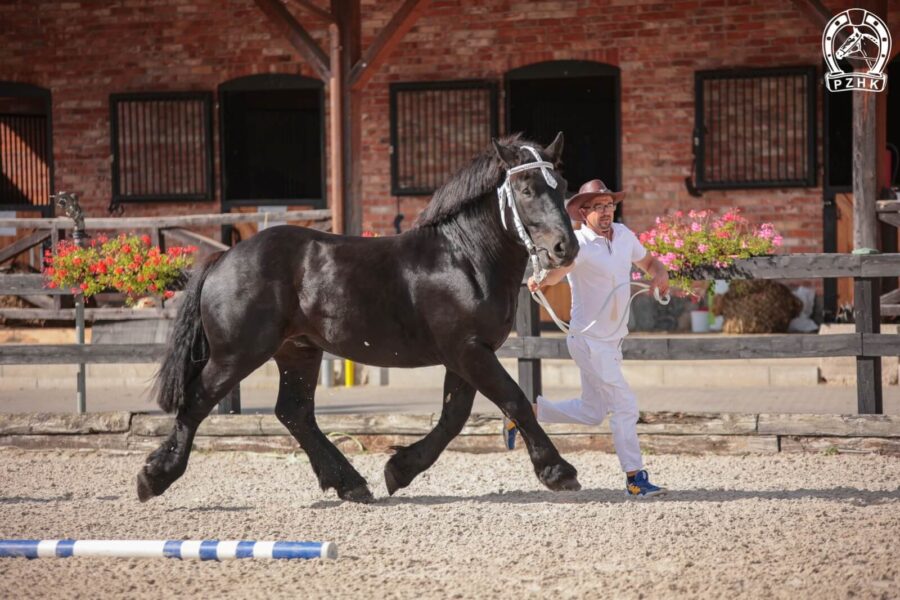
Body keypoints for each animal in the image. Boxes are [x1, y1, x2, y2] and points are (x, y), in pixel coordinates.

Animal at [137, 131, 580, 502]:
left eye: (563, 187)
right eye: (526, 188)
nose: (566, 247)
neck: (464, 258)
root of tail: (223, 258)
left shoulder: (467, 353)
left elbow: (454, 417)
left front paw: (399, 469)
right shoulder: (468, 351)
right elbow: (514, 400)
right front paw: (558, 472)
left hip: (297, 350)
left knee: (294, 413)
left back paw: (349, 483)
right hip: (238, 353)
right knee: (197, 400)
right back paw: (154, 476)